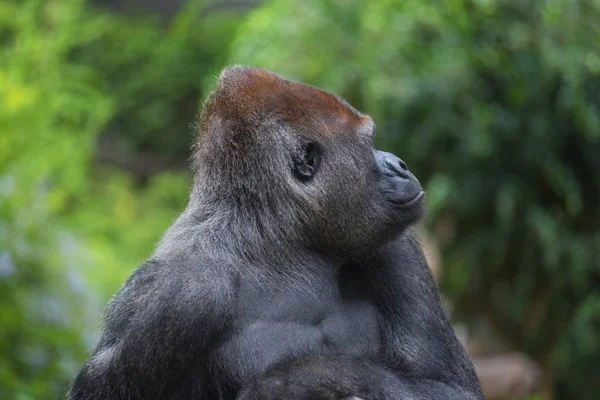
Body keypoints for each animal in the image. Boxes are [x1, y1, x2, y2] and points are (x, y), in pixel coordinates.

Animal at [69, 67, 482, 398]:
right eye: (369, 143)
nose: (400, 164)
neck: (276, 244)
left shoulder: (398, 247)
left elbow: (449, 386)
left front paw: (297, 379)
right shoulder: (178, 294)